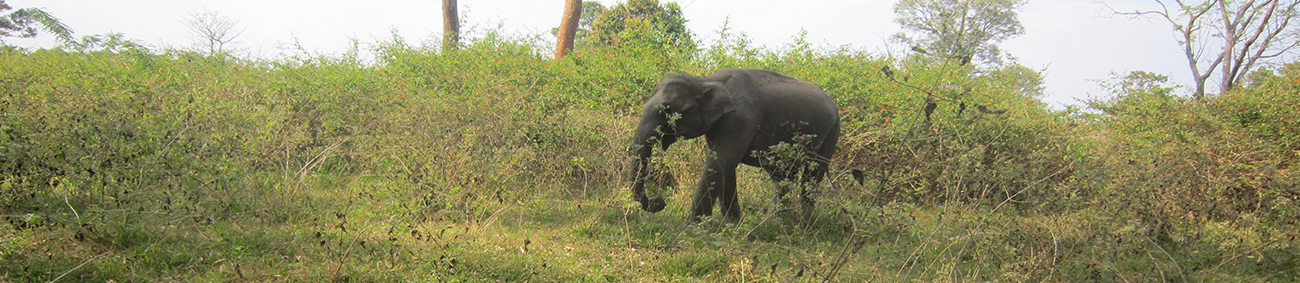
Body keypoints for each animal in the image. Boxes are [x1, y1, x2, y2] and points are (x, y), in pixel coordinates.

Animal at [629, 68, 842, 223]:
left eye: (667, 109)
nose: (659, 202)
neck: (706, 81)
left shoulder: (741, 119)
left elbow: (720, 162)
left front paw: (694, 227)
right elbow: (725, 166)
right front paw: (731, 224)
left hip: (832, 133)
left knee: (812, 174)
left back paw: (804, 220)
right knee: (782, 175)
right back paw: (777, 221)